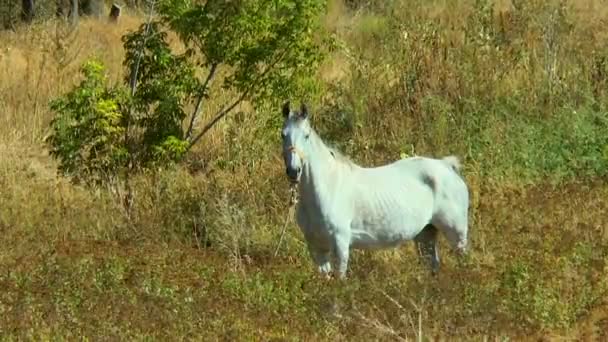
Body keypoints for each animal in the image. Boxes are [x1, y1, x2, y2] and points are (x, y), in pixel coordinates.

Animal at [280, 101, 470, 278]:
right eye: (283, 135)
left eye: (306, 135)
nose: (293, 171)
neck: (327, 189)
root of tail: (447, 166)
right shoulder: (317, 248)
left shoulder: (340, 243)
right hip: (426, 233)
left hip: (456, 233)